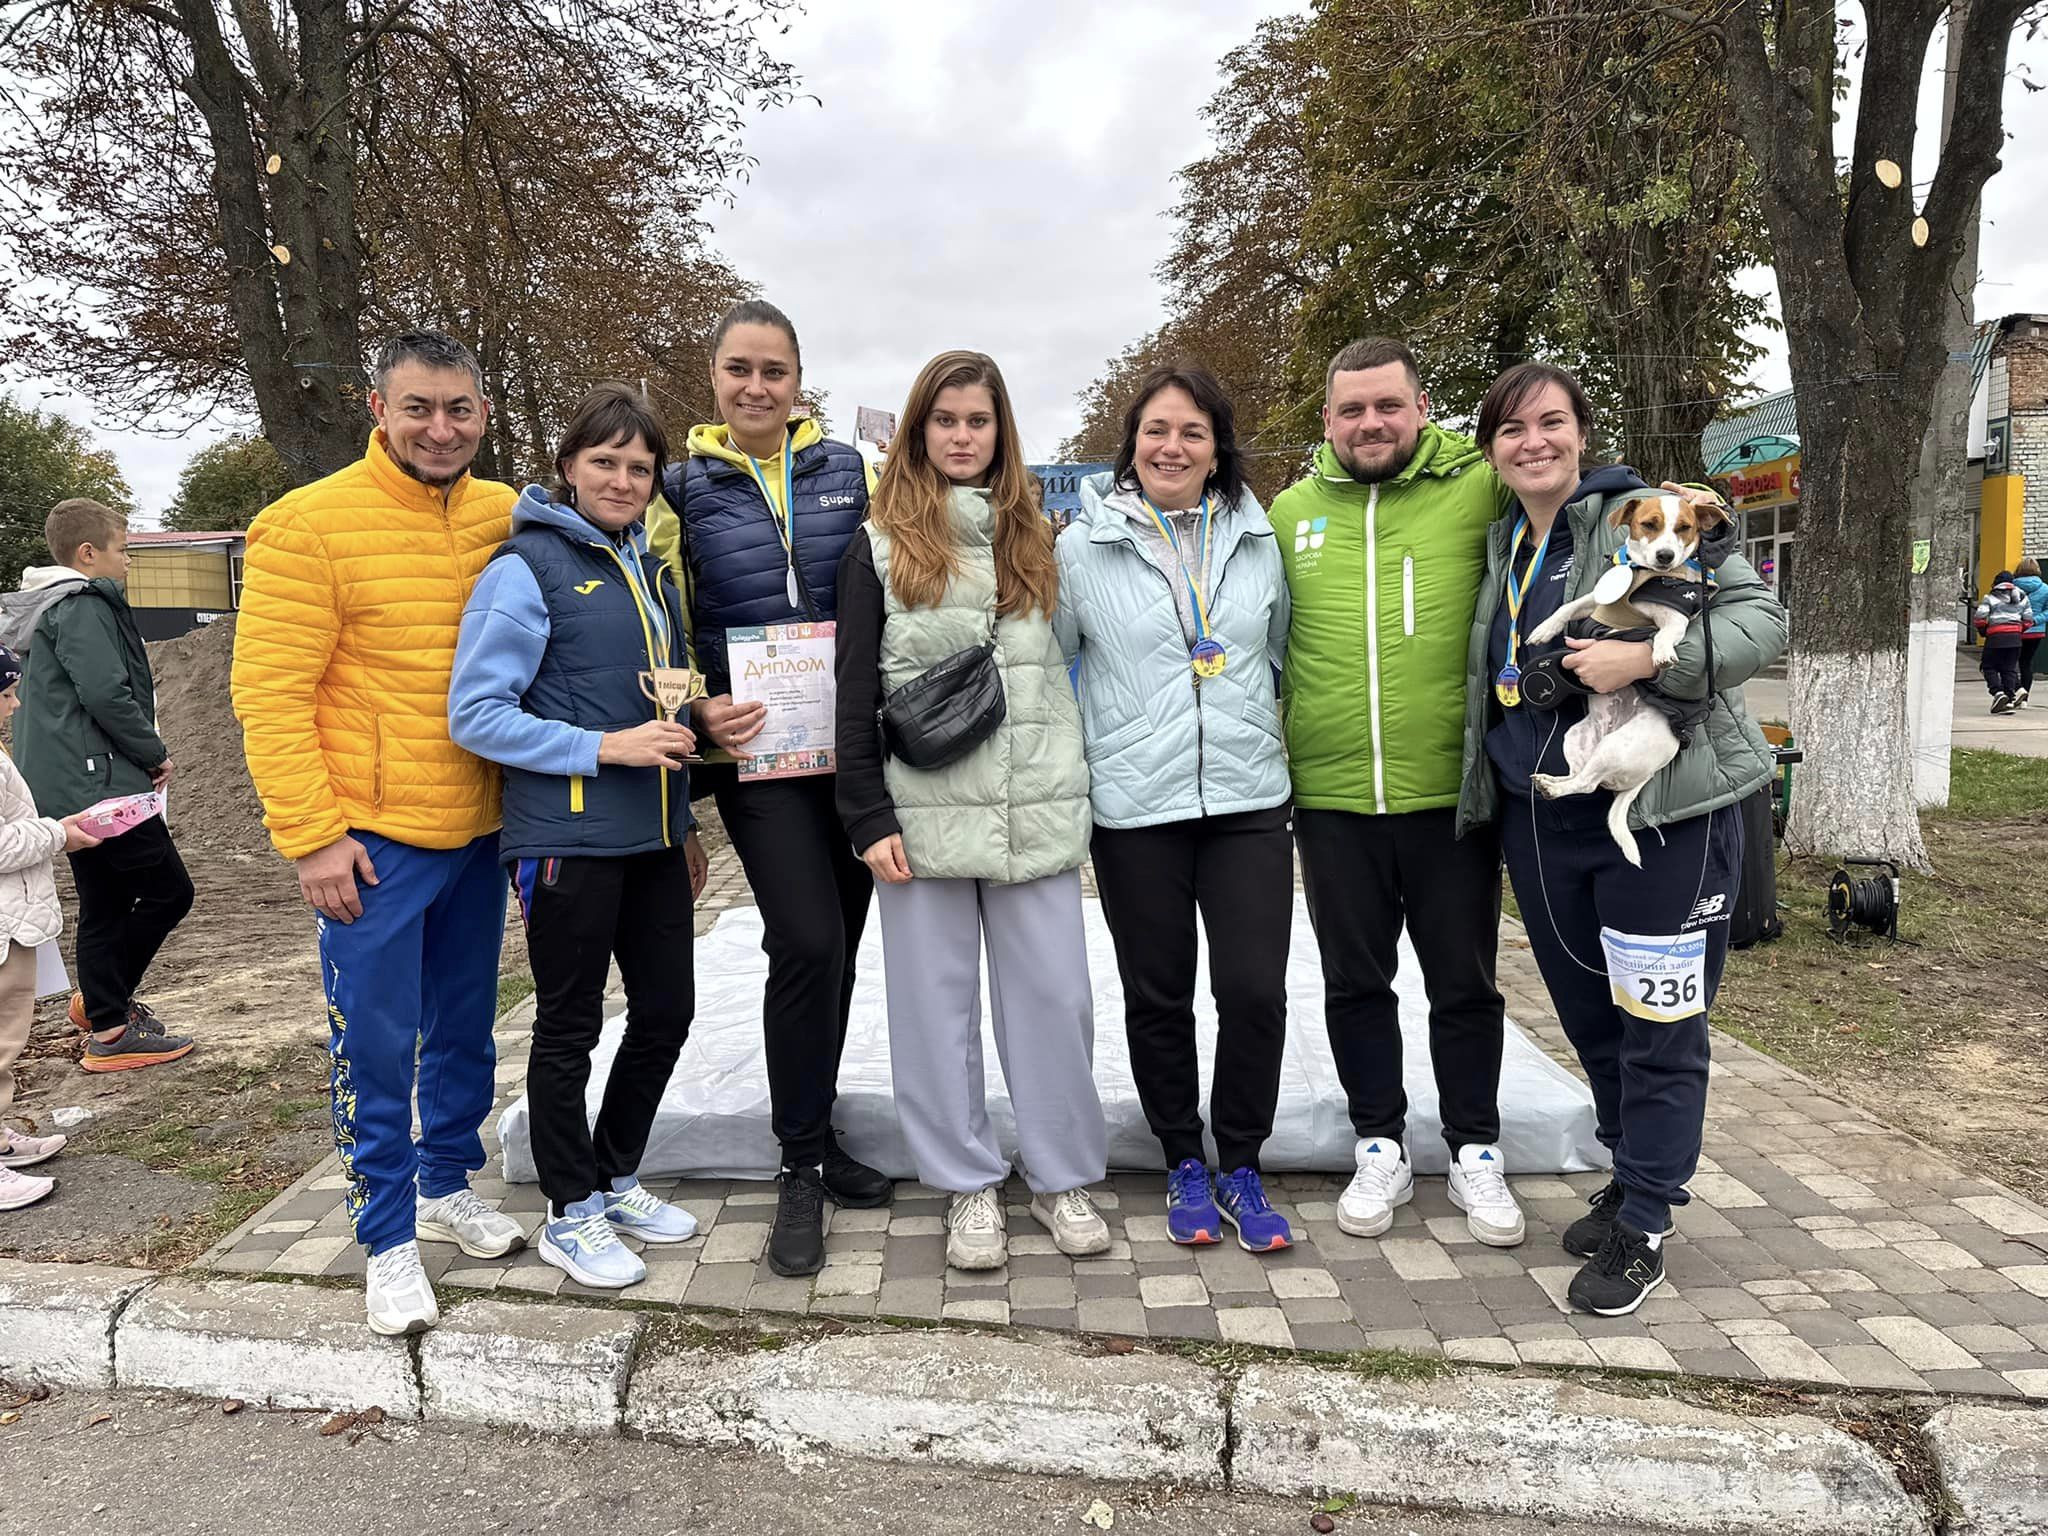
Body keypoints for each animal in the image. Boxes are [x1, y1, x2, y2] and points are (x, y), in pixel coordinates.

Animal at [1523, 487, 1728, 872]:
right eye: (1649, 524)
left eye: (1684, 528)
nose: (1665, 556)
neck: (1640, 574)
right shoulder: (1595, 600)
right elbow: (1567, 608)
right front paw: (1543, 630)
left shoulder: (1676, 618)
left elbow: (1665, 635)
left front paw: (1661, 654)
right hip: (1577, 739)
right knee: (1581, 778)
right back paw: (1551, 782)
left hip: (1615, 746)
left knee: (1587, 785)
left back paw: (1554, 788)